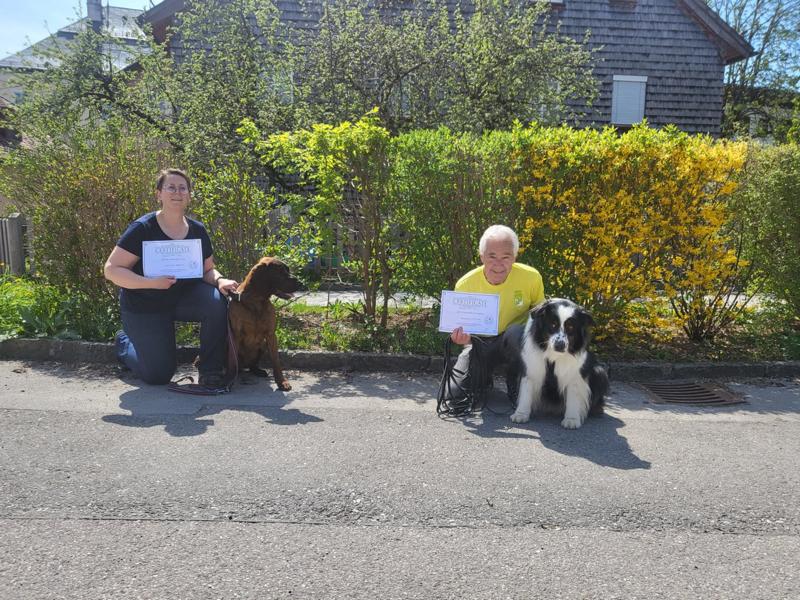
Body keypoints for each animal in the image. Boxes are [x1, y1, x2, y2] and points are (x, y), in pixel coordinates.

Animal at [228, 257, 301, 391]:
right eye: (281, 273)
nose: (301, 283)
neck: (256, 302)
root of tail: (243, 366)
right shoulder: (235, 335)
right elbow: (232, 361)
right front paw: (228, 380)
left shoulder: (271, 335)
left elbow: (276, 361)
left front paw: (282, 382)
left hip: (262, 345)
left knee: (252, 366)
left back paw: (258, 371)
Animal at [509, 298, 608, 429]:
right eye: (553, 324)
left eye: (570, 327)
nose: (559, 345)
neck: (554, 358)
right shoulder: (531, 369)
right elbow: (526, 393)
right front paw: (521, 414)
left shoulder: (575, 376)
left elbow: (573, 398)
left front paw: (571, 419)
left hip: (600, 371)